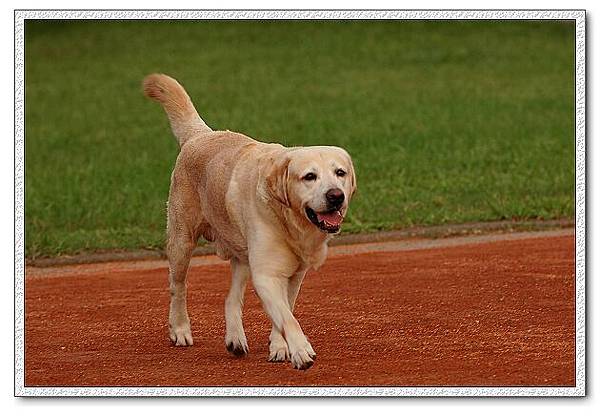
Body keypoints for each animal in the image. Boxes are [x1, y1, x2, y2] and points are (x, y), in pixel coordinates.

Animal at [142, 73, 356, 368]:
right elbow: (288, 317)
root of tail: (202, 134)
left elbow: (284, 312)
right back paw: (180, 330)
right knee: (178, 287)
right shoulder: (266, 273)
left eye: (340, 173)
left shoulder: (294, 274)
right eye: (309, 176)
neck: (288, 220)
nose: (336, 196)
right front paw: (301, 350)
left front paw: (279, 347)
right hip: (181, 243)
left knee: (231, 298)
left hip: (242, 256)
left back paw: (235, 339)